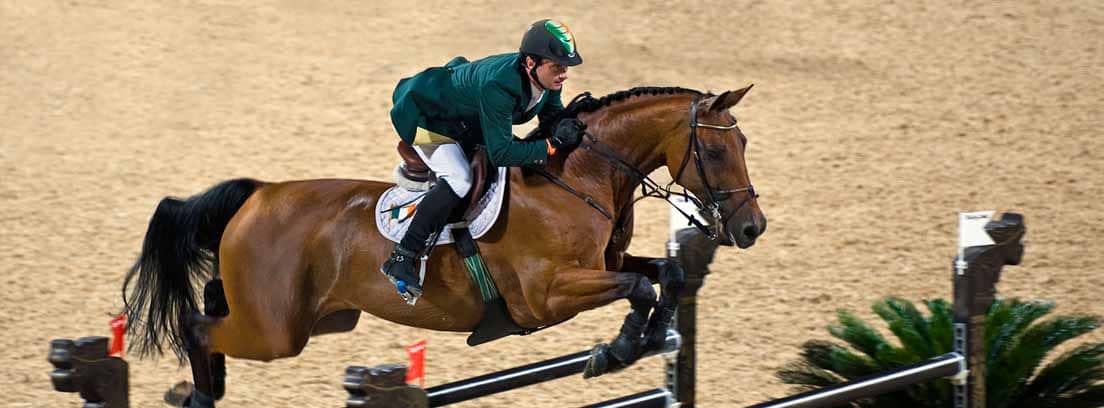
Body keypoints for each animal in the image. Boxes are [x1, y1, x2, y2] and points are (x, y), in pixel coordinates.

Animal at [121, 85, 766, 407]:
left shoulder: (606, 265)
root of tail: (258, 193)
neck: (580, 176)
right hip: (276, 333)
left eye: (744, 143)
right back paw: (198, 396)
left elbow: (664, 275)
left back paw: (205, 387)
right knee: (195, 325)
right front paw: (618, 350)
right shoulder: (549, 295)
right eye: (713, 151)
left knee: (210, 299)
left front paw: (650, 340)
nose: (752, 228)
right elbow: (637, 286)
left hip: (309, 317)